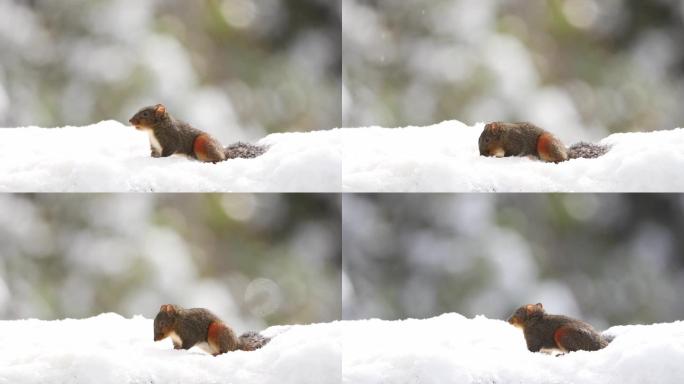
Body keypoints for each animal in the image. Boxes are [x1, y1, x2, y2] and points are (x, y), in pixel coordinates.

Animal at [128, 104, 268, 163]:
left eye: (145, 114)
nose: (130, 120)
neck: (152, 131)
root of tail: (223, 151)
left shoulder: (171, 140)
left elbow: (167, 152)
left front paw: (162, 159)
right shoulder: (155, 146)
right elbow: (154, 154)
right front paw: (151, 158)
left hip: (202, 142)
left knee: (219, 159)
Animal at [478, 122, 612, 163]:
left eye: (487, 140)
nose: (482, 155)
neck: (504, 135)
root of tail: (566, 152)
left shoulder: (517, 141)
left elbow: (512, 153)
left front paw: (499, 156)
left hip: (546, 142)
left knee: (562, 159)